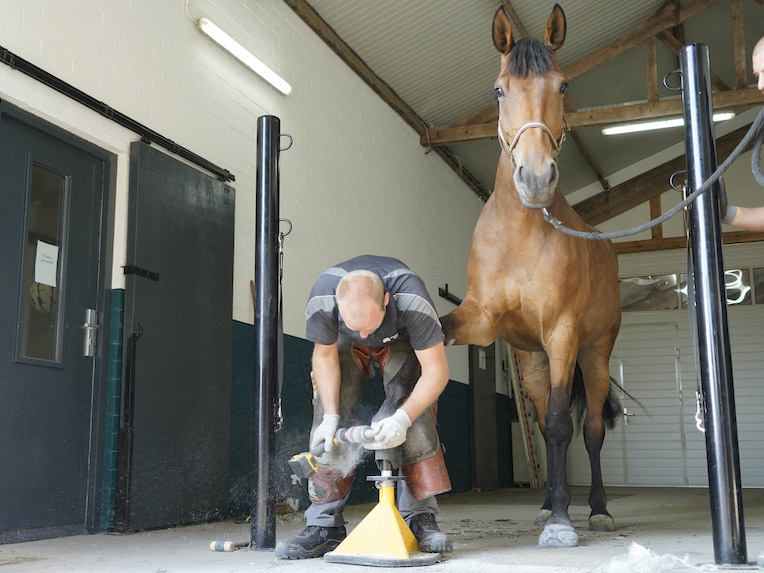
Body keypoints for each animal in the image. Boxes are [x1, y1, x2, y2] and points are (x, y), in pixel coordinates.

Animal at [438, 4, 624, 548]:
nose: (536, 178)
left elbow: (565, 425)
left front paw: (565, 519)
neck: (520, 234)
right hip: (533, 360)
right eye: (500, 90)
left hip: (593, 354)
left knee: (589, 431)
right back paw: (545, 505)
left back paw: (595, 510)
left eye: (562, 85)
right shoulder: (483, 322)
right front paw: (552, 510)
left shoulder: (562, 334)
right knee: (542, 424)